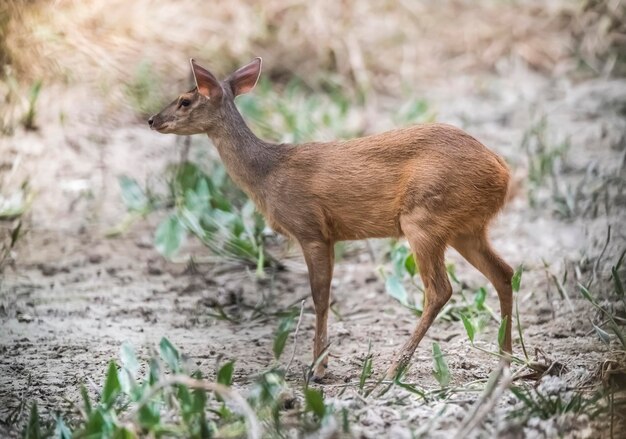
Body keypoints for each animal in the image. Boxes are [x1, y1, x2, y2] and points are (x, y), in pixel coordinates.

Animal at [147, 57, 512, 382]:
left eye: (184, 100)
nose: (151, 120)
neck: (268, 173)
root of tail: (503, 171)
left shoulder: (309, 228)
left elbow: (319, 297)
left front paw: (318, 369)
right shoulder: (331, 235)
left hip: (423, 218)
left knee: (439, 290)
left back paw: (392, 372)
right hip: (466, 228)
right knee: (504, 273)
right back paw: (506, 360)